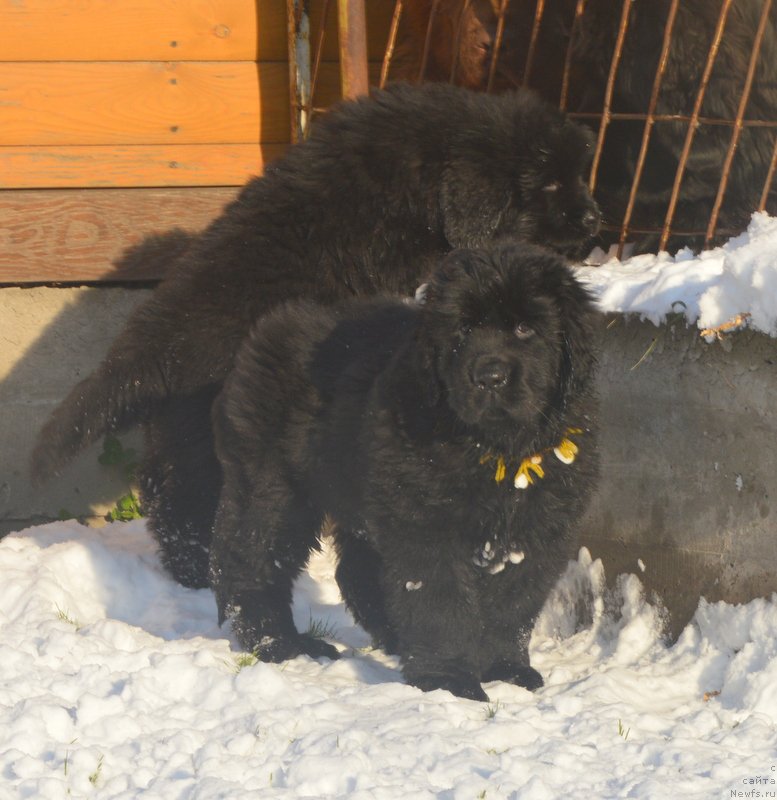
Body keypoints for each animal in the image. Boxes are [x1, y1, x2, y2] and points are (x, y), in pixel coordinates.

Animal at [31, 84, 600, 592]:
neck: (424, 178)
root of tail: (153, 347)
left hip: (180, 429)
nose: (596, 217)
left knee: (166, 492)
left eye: (577, 176)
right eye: (548, 186)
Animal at [209, 242, 596, 700]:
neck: (495, 450)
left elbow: (511, 604)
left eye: (524, 329)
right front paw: (448, 680)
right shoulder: (426, 520)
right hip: (274, 482)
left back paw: (392, 639)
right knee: (252, 559)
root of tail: (269, 327)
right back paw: (280, 644)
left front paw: (505, 669)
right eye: (462, 330)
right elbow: (439, 600)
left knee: (355, 572)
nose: (489, 376)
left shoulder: (537, 528)